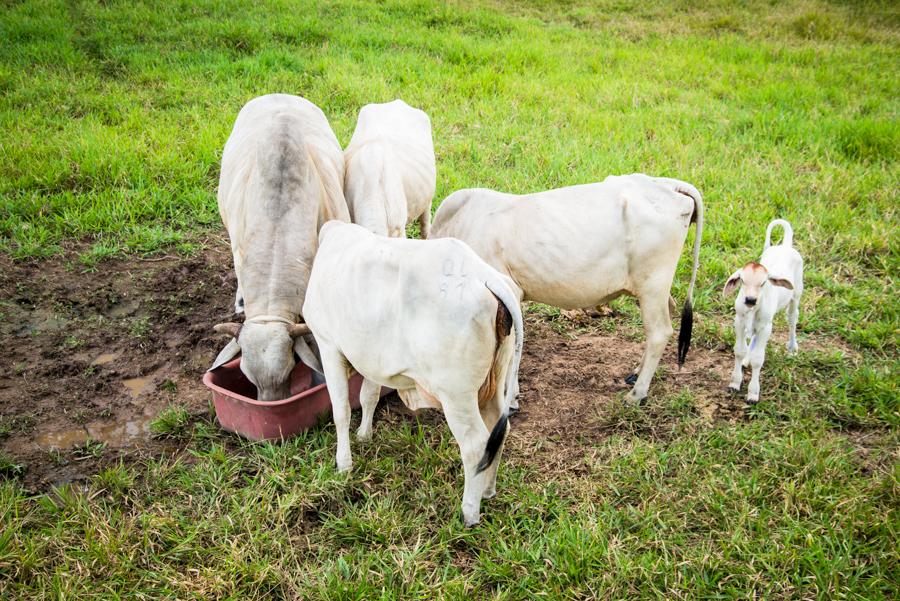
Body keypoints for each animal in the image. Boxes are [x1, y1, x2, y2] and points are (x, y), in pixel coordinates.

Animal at [302, 220, 524, 524]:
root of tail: (488, 279)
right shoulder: (370, 358)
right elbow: (368, 396)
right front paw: (364, 436)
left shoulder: (328, 346)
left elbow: (341, 410)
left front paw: (344, 464)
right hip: (493, 383)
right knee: (498, 432)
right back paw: (488, 491)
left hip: (457, 395)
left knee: (475, 445)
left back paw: (469, 512)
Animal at [432, 173, 708, 404]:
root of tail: (668, 185)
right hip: (654, 289)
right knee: (668, 314)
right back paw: (637, 372)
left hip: (652, 286)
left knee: (659, 332)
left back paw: (637, 394)